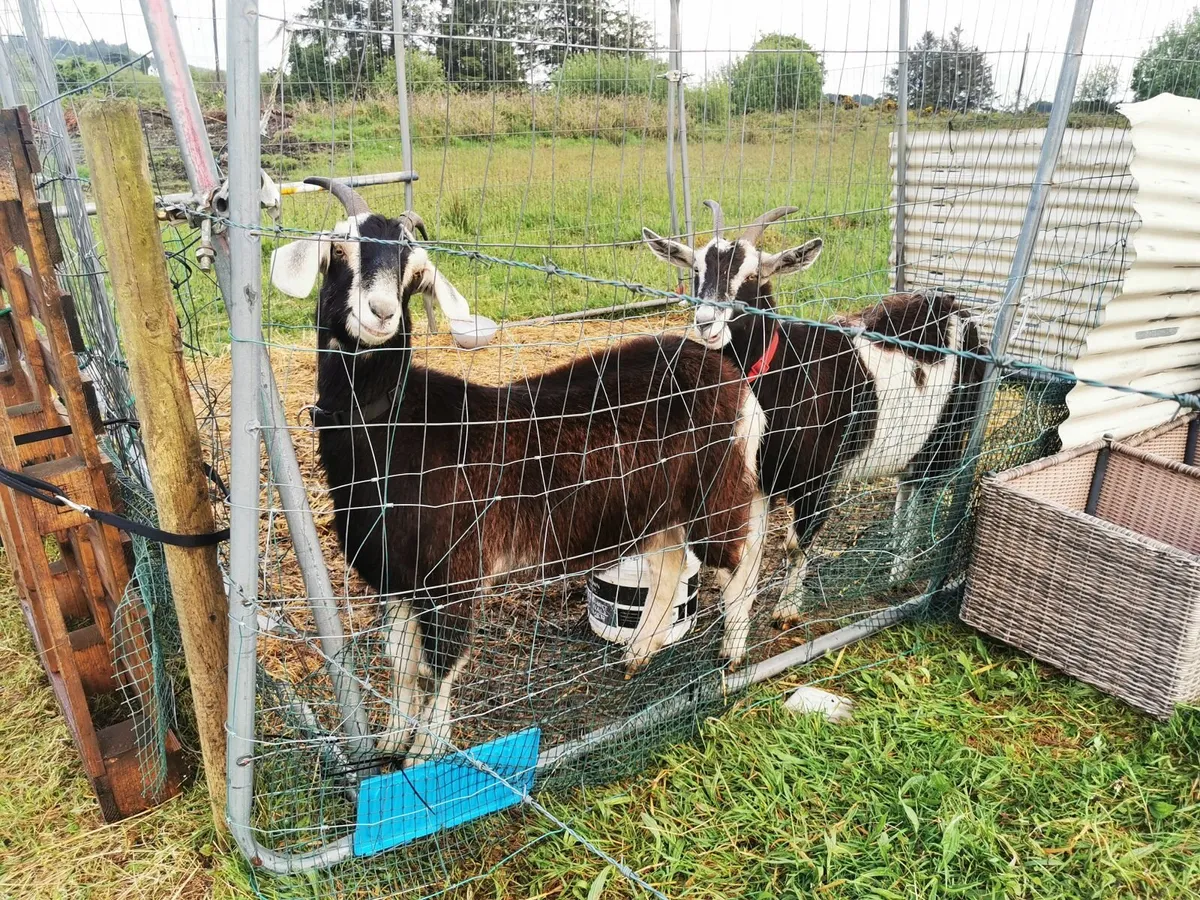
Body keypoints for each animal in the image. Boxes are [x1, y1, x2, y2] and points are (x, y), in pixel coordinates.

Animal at [270, 180, 768, 765]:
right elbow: (401, 662)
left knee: (744, 550)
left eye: (414, 273)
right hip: (654, 504)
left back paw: (733, 650)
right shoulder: (392, 575)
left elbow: (442, 664)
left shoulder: (453, 574)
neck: (394, 421)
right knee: (669, 563)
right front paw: (393, 738)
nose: (380, 313)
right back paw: (638, 654)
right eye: (338, 250)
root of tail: (730, 377)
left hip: (717, 486)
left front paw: (425, 753)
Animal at [643, 201, 985, 626]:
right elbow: (748, 554)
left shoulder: (820, 478)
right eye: (696, 271)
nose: (707, 323)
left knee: (925, 492)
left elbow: (794, 545)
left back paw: (905, 569)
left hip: (949, 432)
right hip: (913, 439)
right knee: (907, 488)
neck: (787, 365)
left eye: (753, 276)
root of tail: (956, 308)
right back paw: (893, 562)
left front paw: (787, 609)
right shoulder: (759, 480)